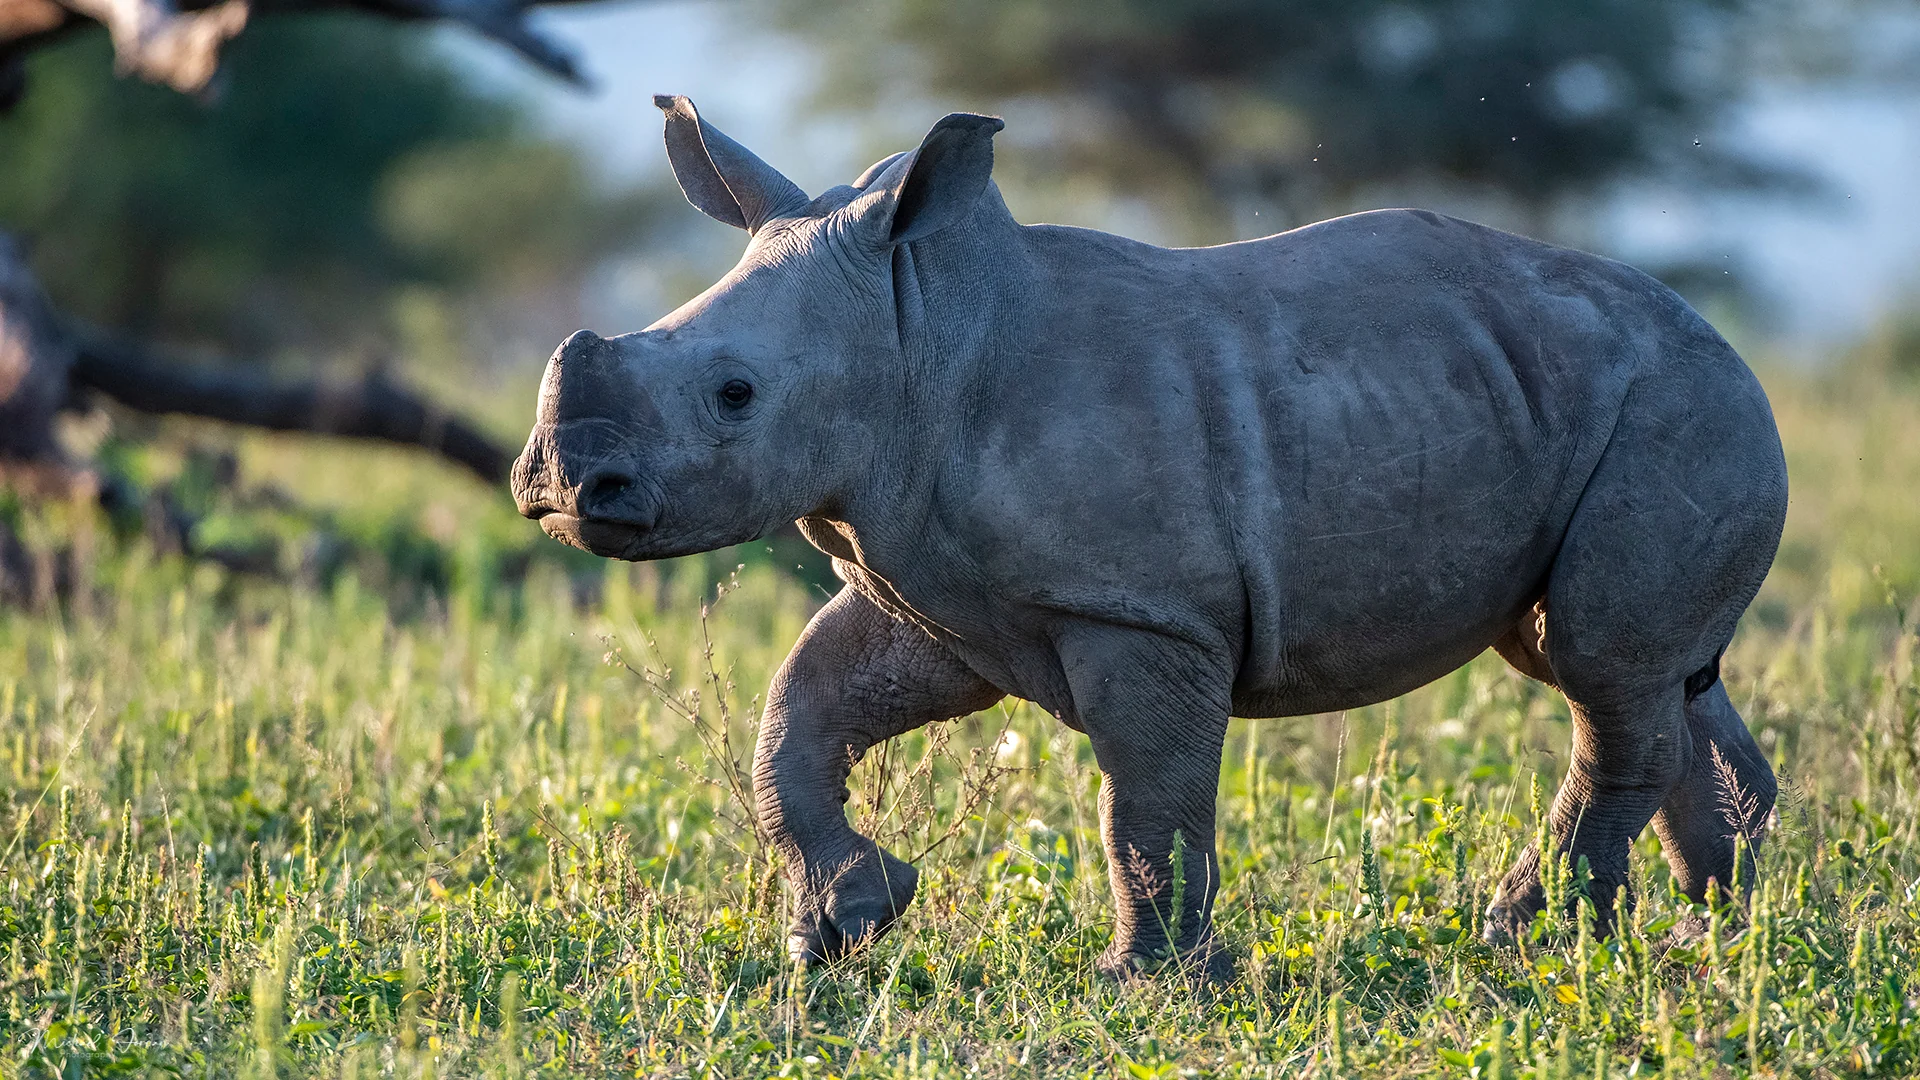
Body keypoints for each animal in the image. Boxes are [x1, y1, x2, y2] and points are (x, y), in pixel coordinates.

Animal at [511, 96, 1787, 977]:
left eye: (735, 395)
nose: (558, 489)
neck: (922, 333)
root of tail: (1733, 347)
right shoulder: (936, 582)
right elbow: (799, 716)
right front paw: (840, 929)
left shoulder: (1140, 609)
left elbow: (1146, 800)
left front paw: (1148, 982)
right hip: (1582, 401)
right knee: (1622, 666)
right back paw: (1715, 935)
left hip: (1680, 410)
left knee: (1599, 664)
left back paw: (1529, 936)